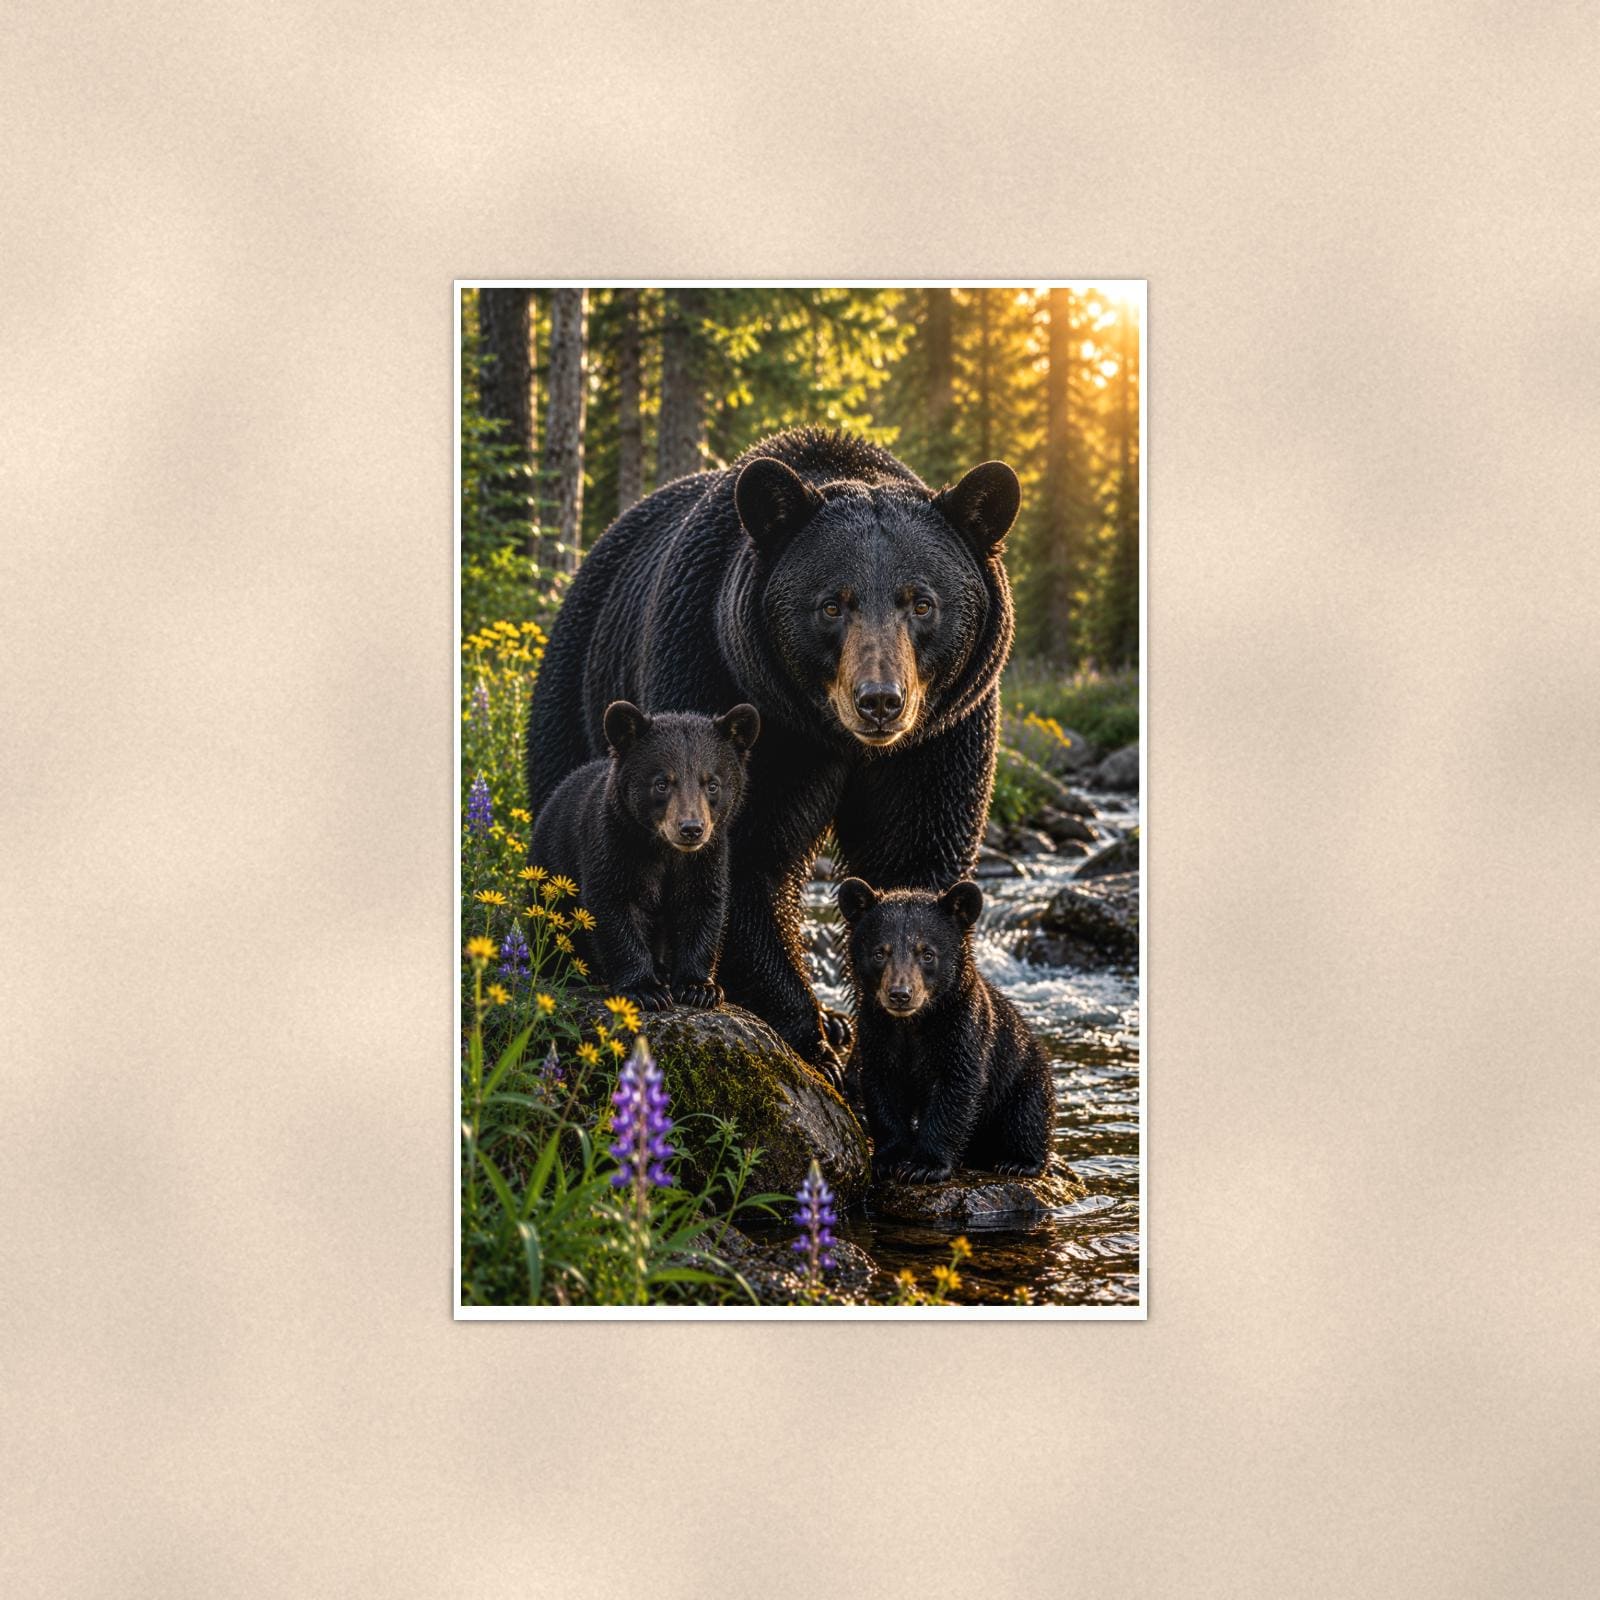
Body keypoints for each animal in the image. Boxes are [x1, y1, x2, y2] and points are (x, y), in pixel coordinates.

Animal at [529, 699, 760, 1013]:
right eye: (662, 783)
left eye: (712, 784)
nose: (691, 829)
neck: (665, 851)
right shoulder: (614, 845)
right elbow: (615, 905)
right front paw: (645, 990)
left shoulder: (707, 858)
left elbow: (702, 906)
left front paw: (699, 987)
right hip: (550, 870)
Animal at [837, 876, 1055, 1183]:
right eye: (879, 952)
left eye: (927, 954)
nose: (900, 994)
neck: (912, 1024)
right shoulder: (876, 1031)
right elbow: (882, 1090)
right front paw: (889, 1159)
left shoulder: (962, 1030)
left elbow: (955, 1089)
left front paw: (924, 1166)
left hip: (1023, 1074)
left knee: (1028, 1116)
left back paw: (1019, 1162)